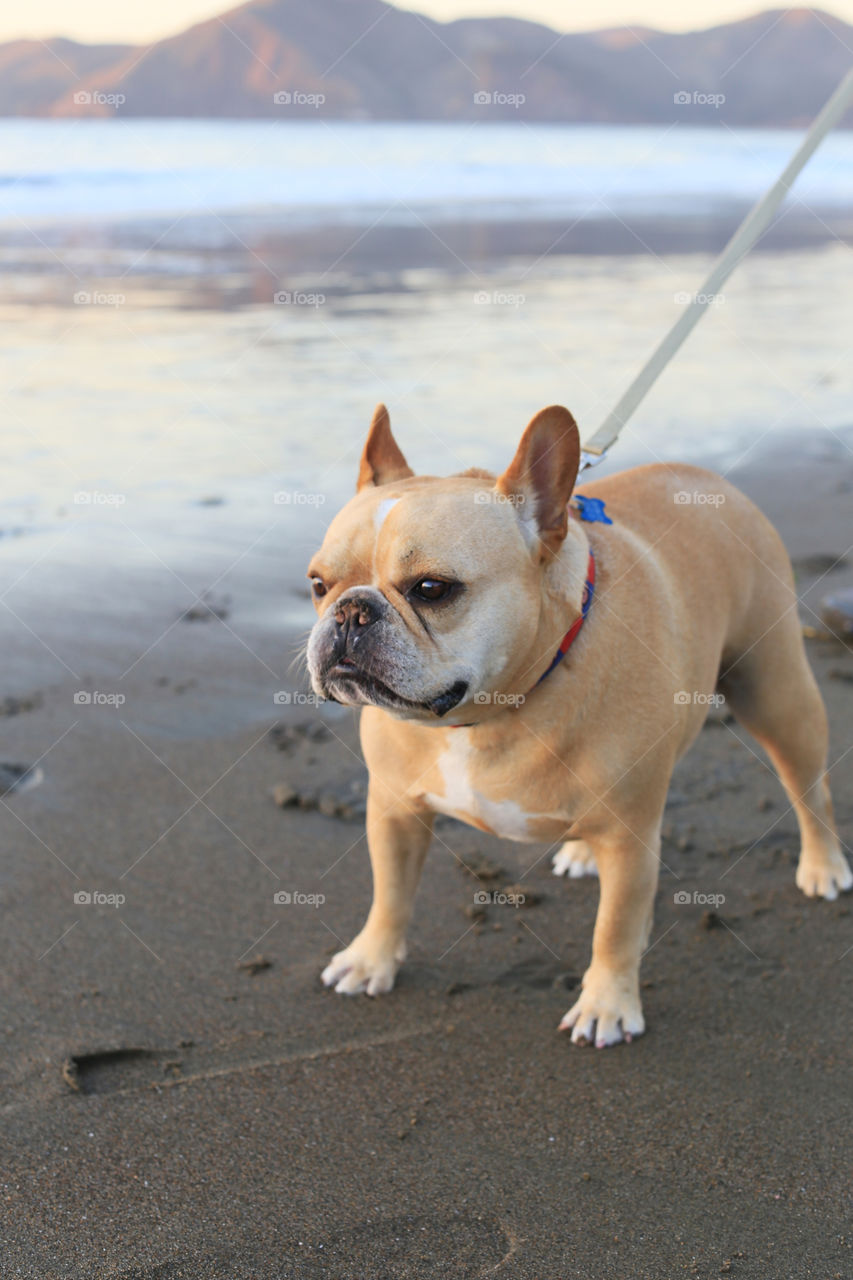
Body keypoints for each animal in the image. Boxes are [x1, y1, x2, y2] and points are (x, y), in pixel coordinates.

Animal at [303, 404, 845, 1044]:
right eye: (318, 584)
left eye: (432, 589)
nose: (350, 610)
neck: (487, 716)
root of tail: (711, 481)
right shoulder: (393, 810)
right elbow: (389, 892)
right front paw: (371, 960)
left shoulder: (631, 839)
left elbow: (615, 928)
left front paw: (606, 1005)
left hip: (776, 693)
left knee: (809, 786)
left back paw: (823, 864)